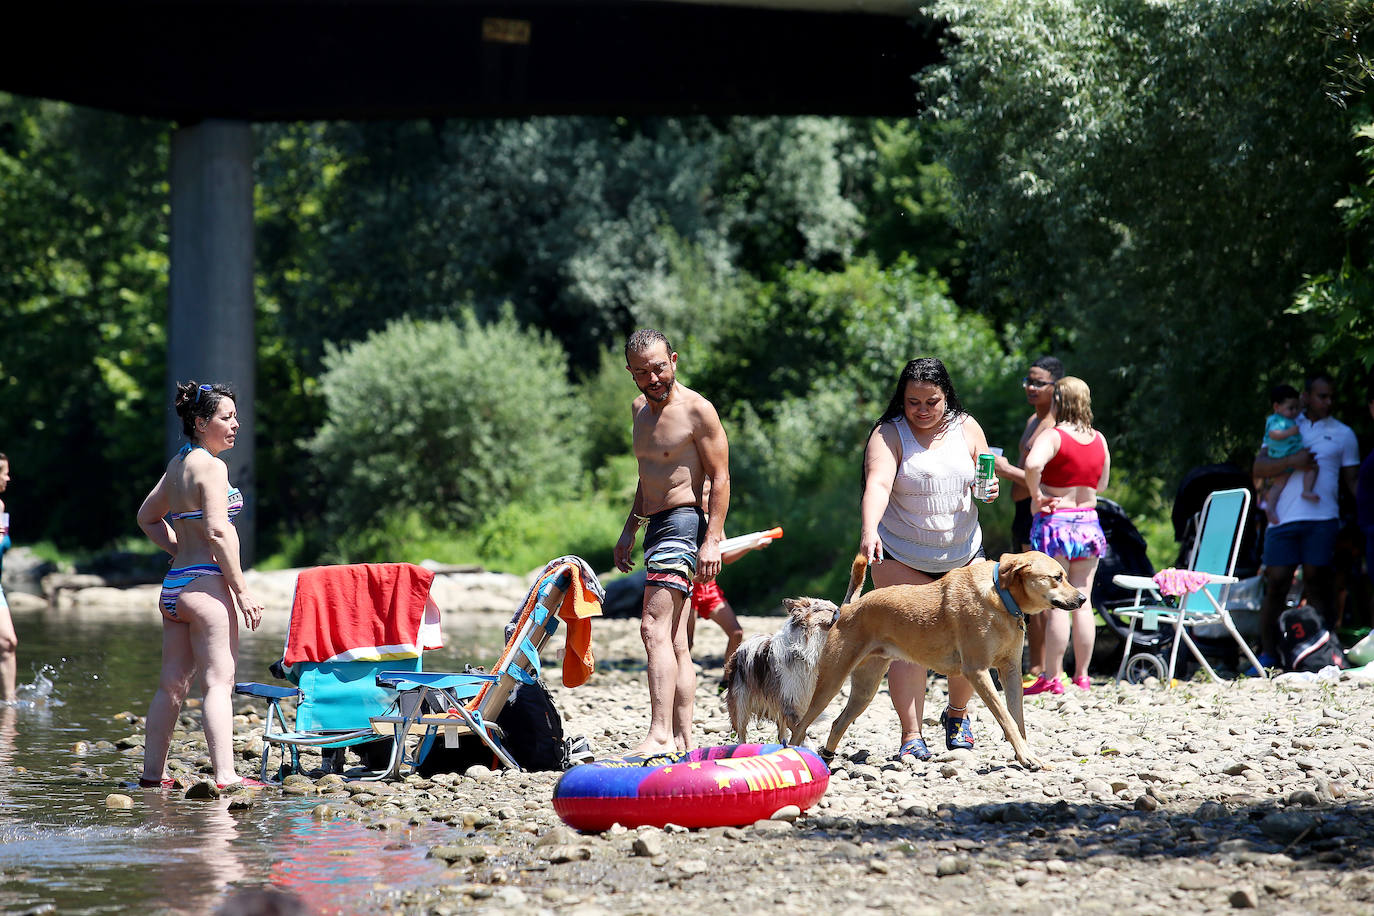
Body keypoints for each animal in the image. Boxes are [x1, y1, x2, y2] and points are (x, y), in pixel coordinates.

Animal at [796, 552, 1082, 774]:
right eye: (1057, 577)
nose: (1082, 598)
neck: (1001, 598)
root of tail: (847, 608)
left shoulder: (1010, 672)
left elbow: (1018, 719)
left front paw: (1027, 756)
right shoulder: (978, 671)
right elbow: (1006, 719)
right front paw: (1026, 756)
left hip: (865, 689)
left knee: (837, 723)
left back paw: (826, 760)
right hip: (831, 682)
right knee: (800, 725)